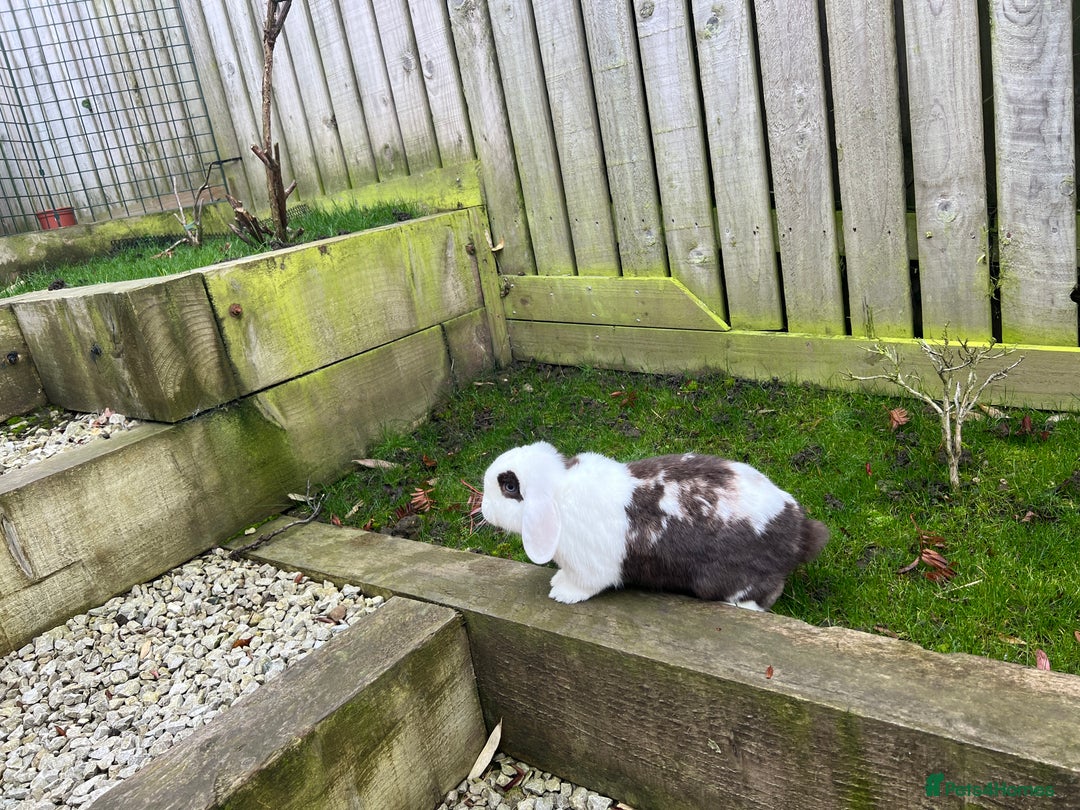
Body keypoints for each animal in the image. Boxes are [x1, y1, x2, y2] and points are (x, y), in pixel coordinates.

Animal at [481, 441, 828, 609]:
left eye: (509, 487)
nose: (483, 509)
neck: (559, 492)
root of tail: (799, 533)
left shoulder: (590, 568)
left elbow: (586, 584)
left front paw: (562, 593)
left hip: (729, 580)